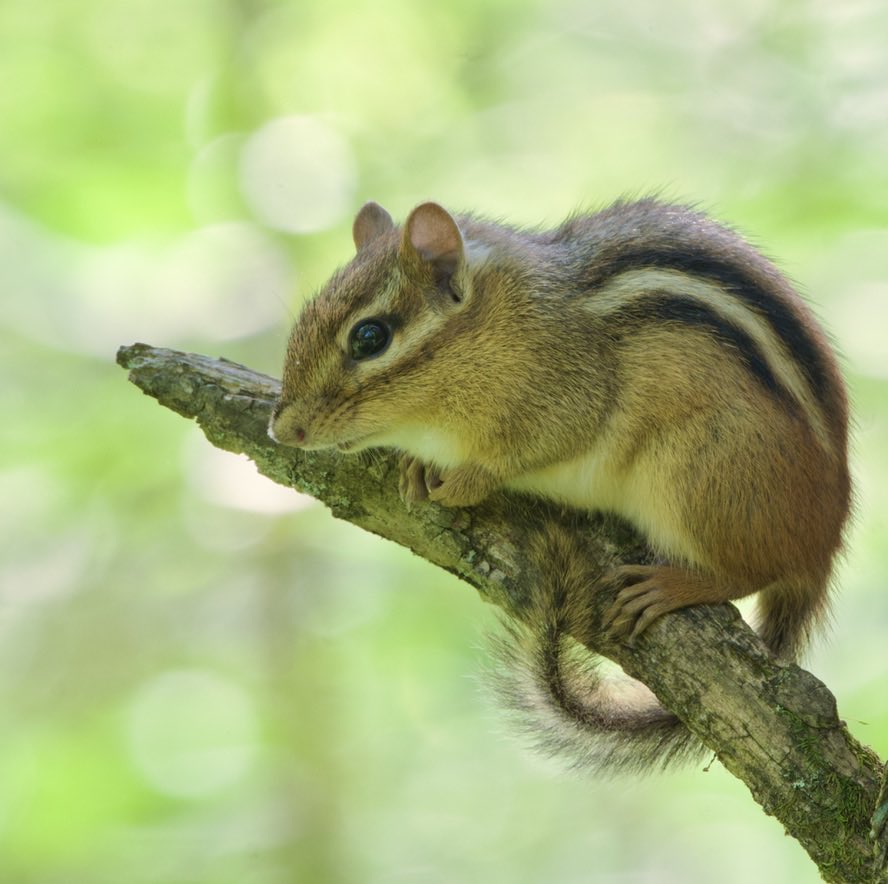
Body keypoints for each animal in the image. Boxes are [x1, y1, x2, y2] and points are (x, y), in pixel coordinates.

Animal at [268, 197, 852, 773]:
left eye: (370, 337)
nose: (282, 429)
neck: (500, 322)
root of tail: (822, 551)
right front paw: (415, 466)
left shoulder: (570, 397)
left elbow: (543, 444)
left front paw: (468, 481)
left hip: (698, 474)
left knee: (752, 570)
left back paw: (676, 585)